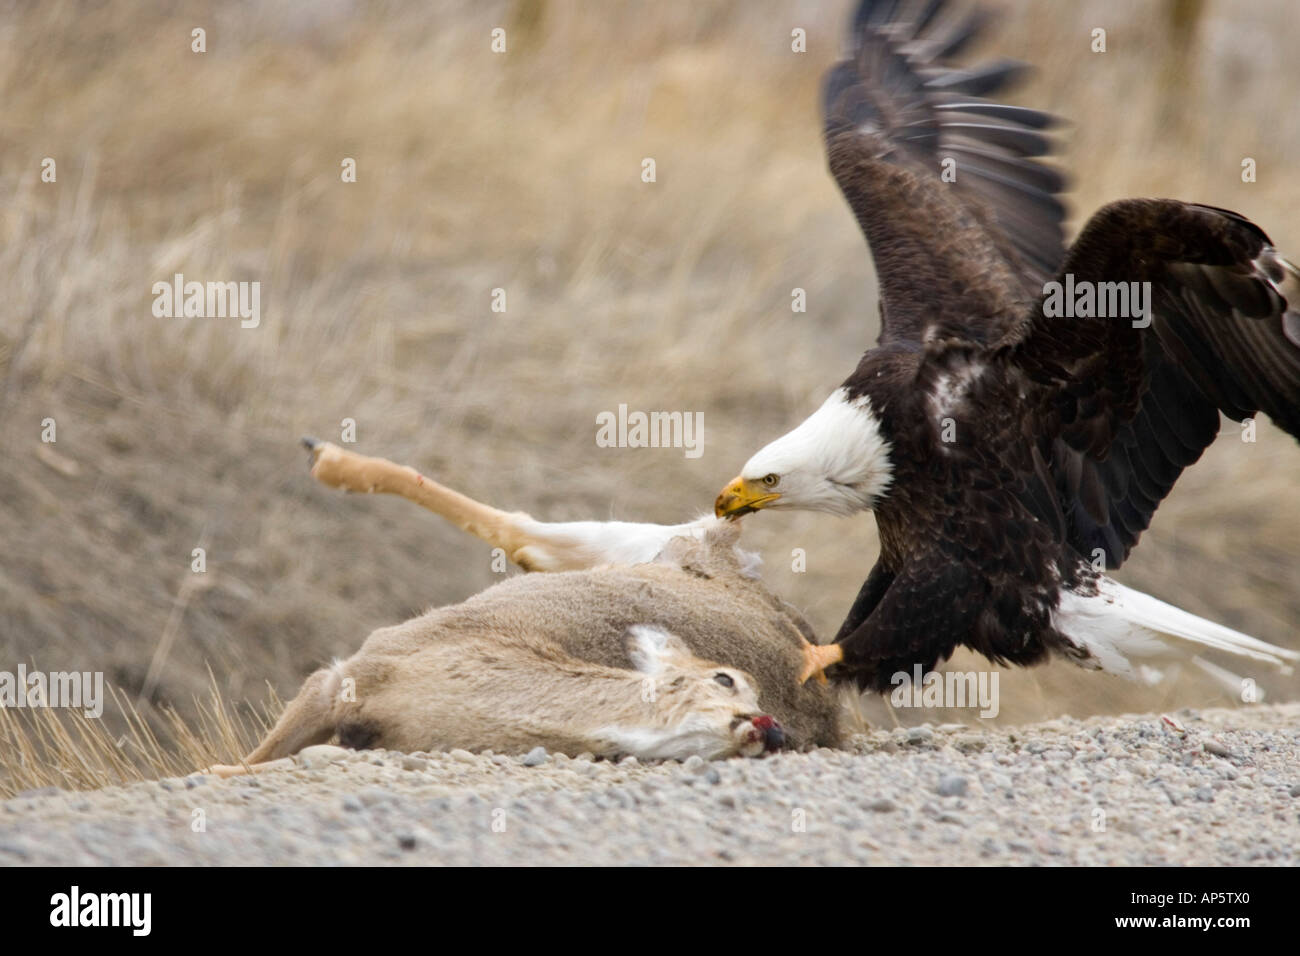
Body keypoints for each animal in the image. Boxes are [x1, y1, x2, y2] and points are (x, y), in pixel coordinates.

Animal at [201, 440, 844, 776]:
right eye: (726, 678)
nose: (773, 728)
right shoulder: (341, 676)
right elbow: (247, 760)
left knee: (522, 540)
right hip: (648, 536)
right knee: (519, 526)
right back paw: (327, 459)